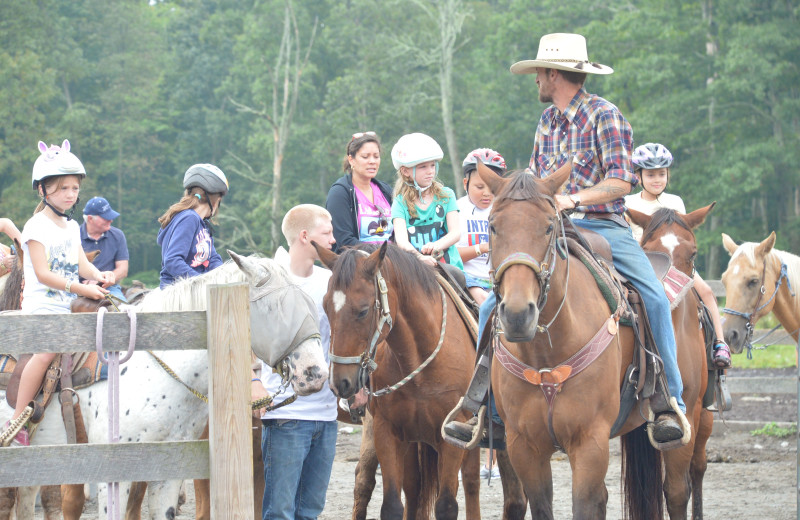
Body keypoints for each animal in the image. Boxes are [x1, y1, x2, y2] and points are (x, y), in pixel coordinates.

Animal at [316, 244, 528, 520]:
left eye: (363, 310)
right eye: (325, 307)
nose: (340, 382)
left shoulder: (449, 438)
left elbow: (447, 505)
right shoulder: (387, 432)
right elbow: (393, 505)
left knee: (487, 490)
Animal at [472, 164, 708, 520]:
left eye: (548, 227)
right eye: (492, 226)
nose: (517, 314)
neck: (547, 351)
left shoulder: (589, 442)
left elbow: (584, 504)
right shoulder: (524, 445)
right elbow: (544, 505)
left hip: (690, 415)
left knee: (678, 492)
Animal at [632, 205, 720, 516]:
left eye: (693, 253)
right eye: (645, 250)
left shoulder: (688, 412)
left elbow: (678, 492)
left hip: (704, 415)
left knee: (698, 467)